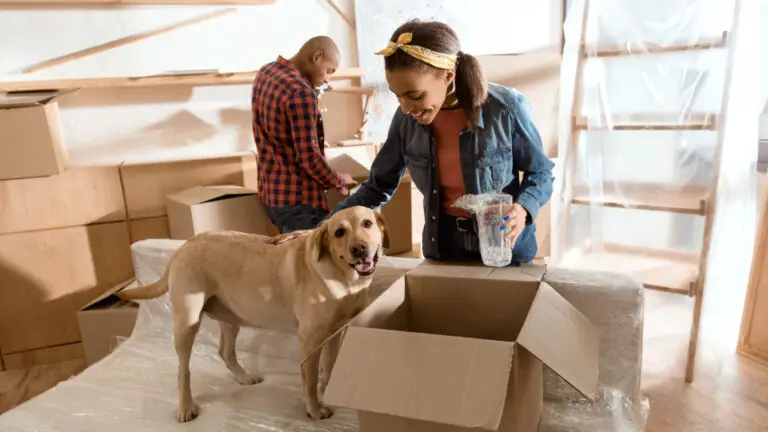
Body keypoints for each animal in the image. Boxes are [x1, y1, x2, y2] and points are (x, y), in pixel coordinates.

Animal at [118, 206, 390, 422]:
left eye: (367, 223)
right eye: (339, 232)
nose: (359, 249)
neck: (344, 277)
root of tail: (183, 246)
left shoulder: (337, 331)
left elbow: (330, 366)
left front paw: (328, 390)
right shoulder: (310, 340)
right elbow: (310, 380)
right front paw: (314, 409)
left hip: (230, 317)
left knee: (225, 351)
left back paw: (244, 377)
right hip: (187, 322)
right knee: (183, 370)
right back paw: (186, 407)